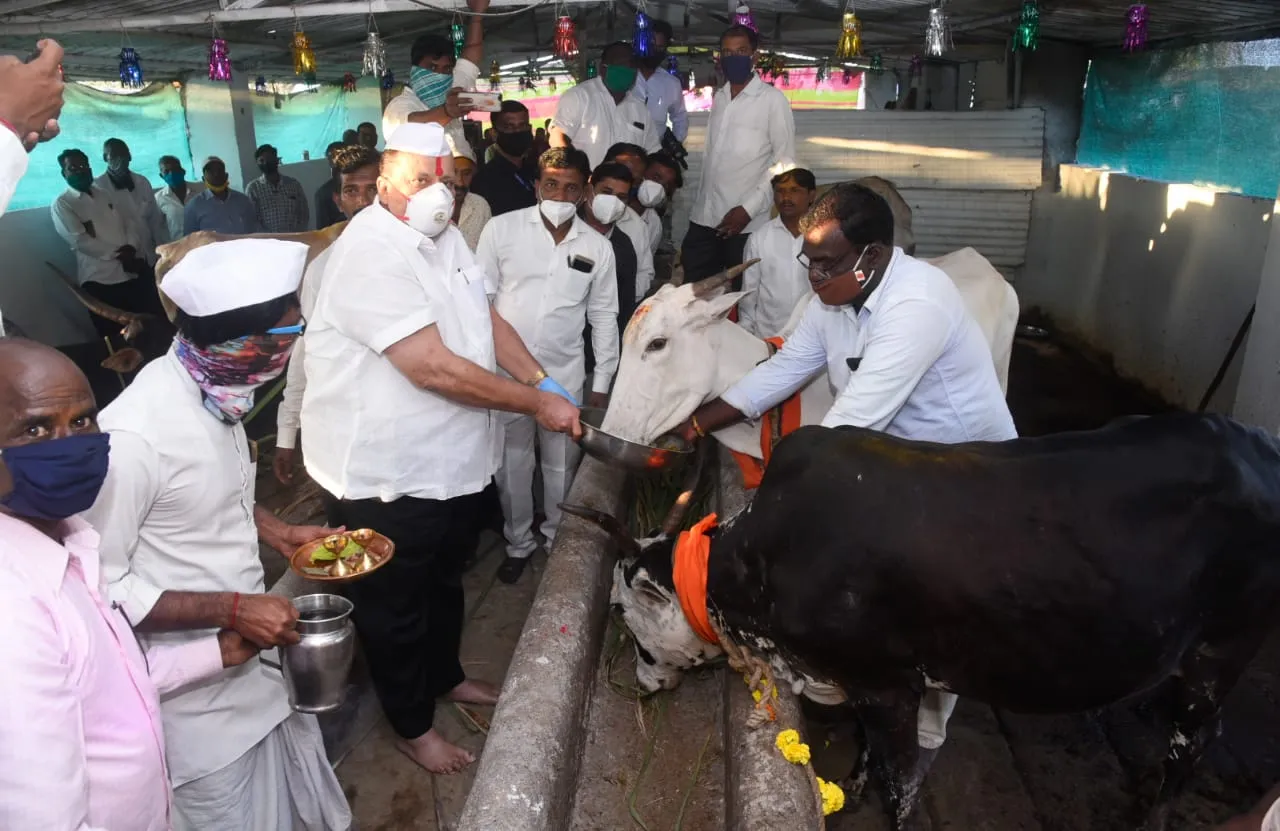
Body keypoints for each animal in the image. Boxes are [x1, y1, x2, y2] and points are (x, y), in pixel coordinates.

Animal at [564, 413, 1280, 830]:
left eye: (626, 616)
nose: (641, 683)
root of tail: (1257, 444)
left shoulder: (889, 685)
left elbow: (899, 784)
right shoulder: (861, 685)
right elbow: (864, 753)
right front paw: (848, 789)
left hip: (1220, 653)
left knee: (1193, 745)